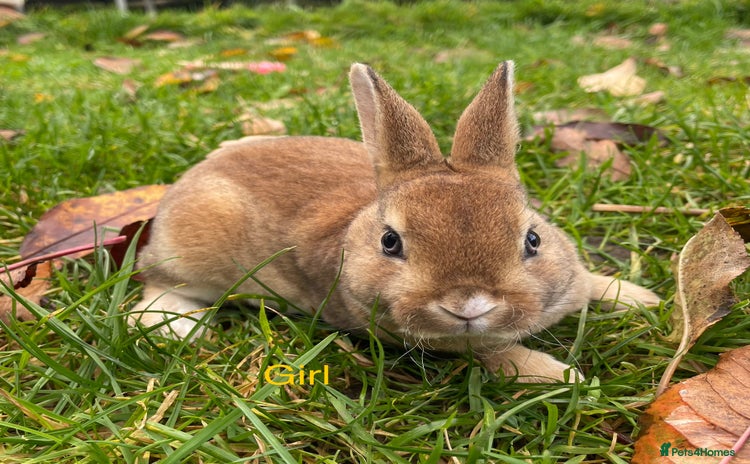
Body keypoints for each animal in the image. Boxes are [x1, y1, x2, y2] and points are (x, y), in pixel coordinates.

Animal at [131, 61, 660, 383]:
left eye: (533, 239)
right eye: (391, 242)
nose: (468, 304)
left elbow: (591, 282)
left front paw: (642, 299)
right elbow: (496, 354)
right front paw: (567, 378)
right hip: (195, 253)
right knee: (155, 282)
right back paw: (178, 327)